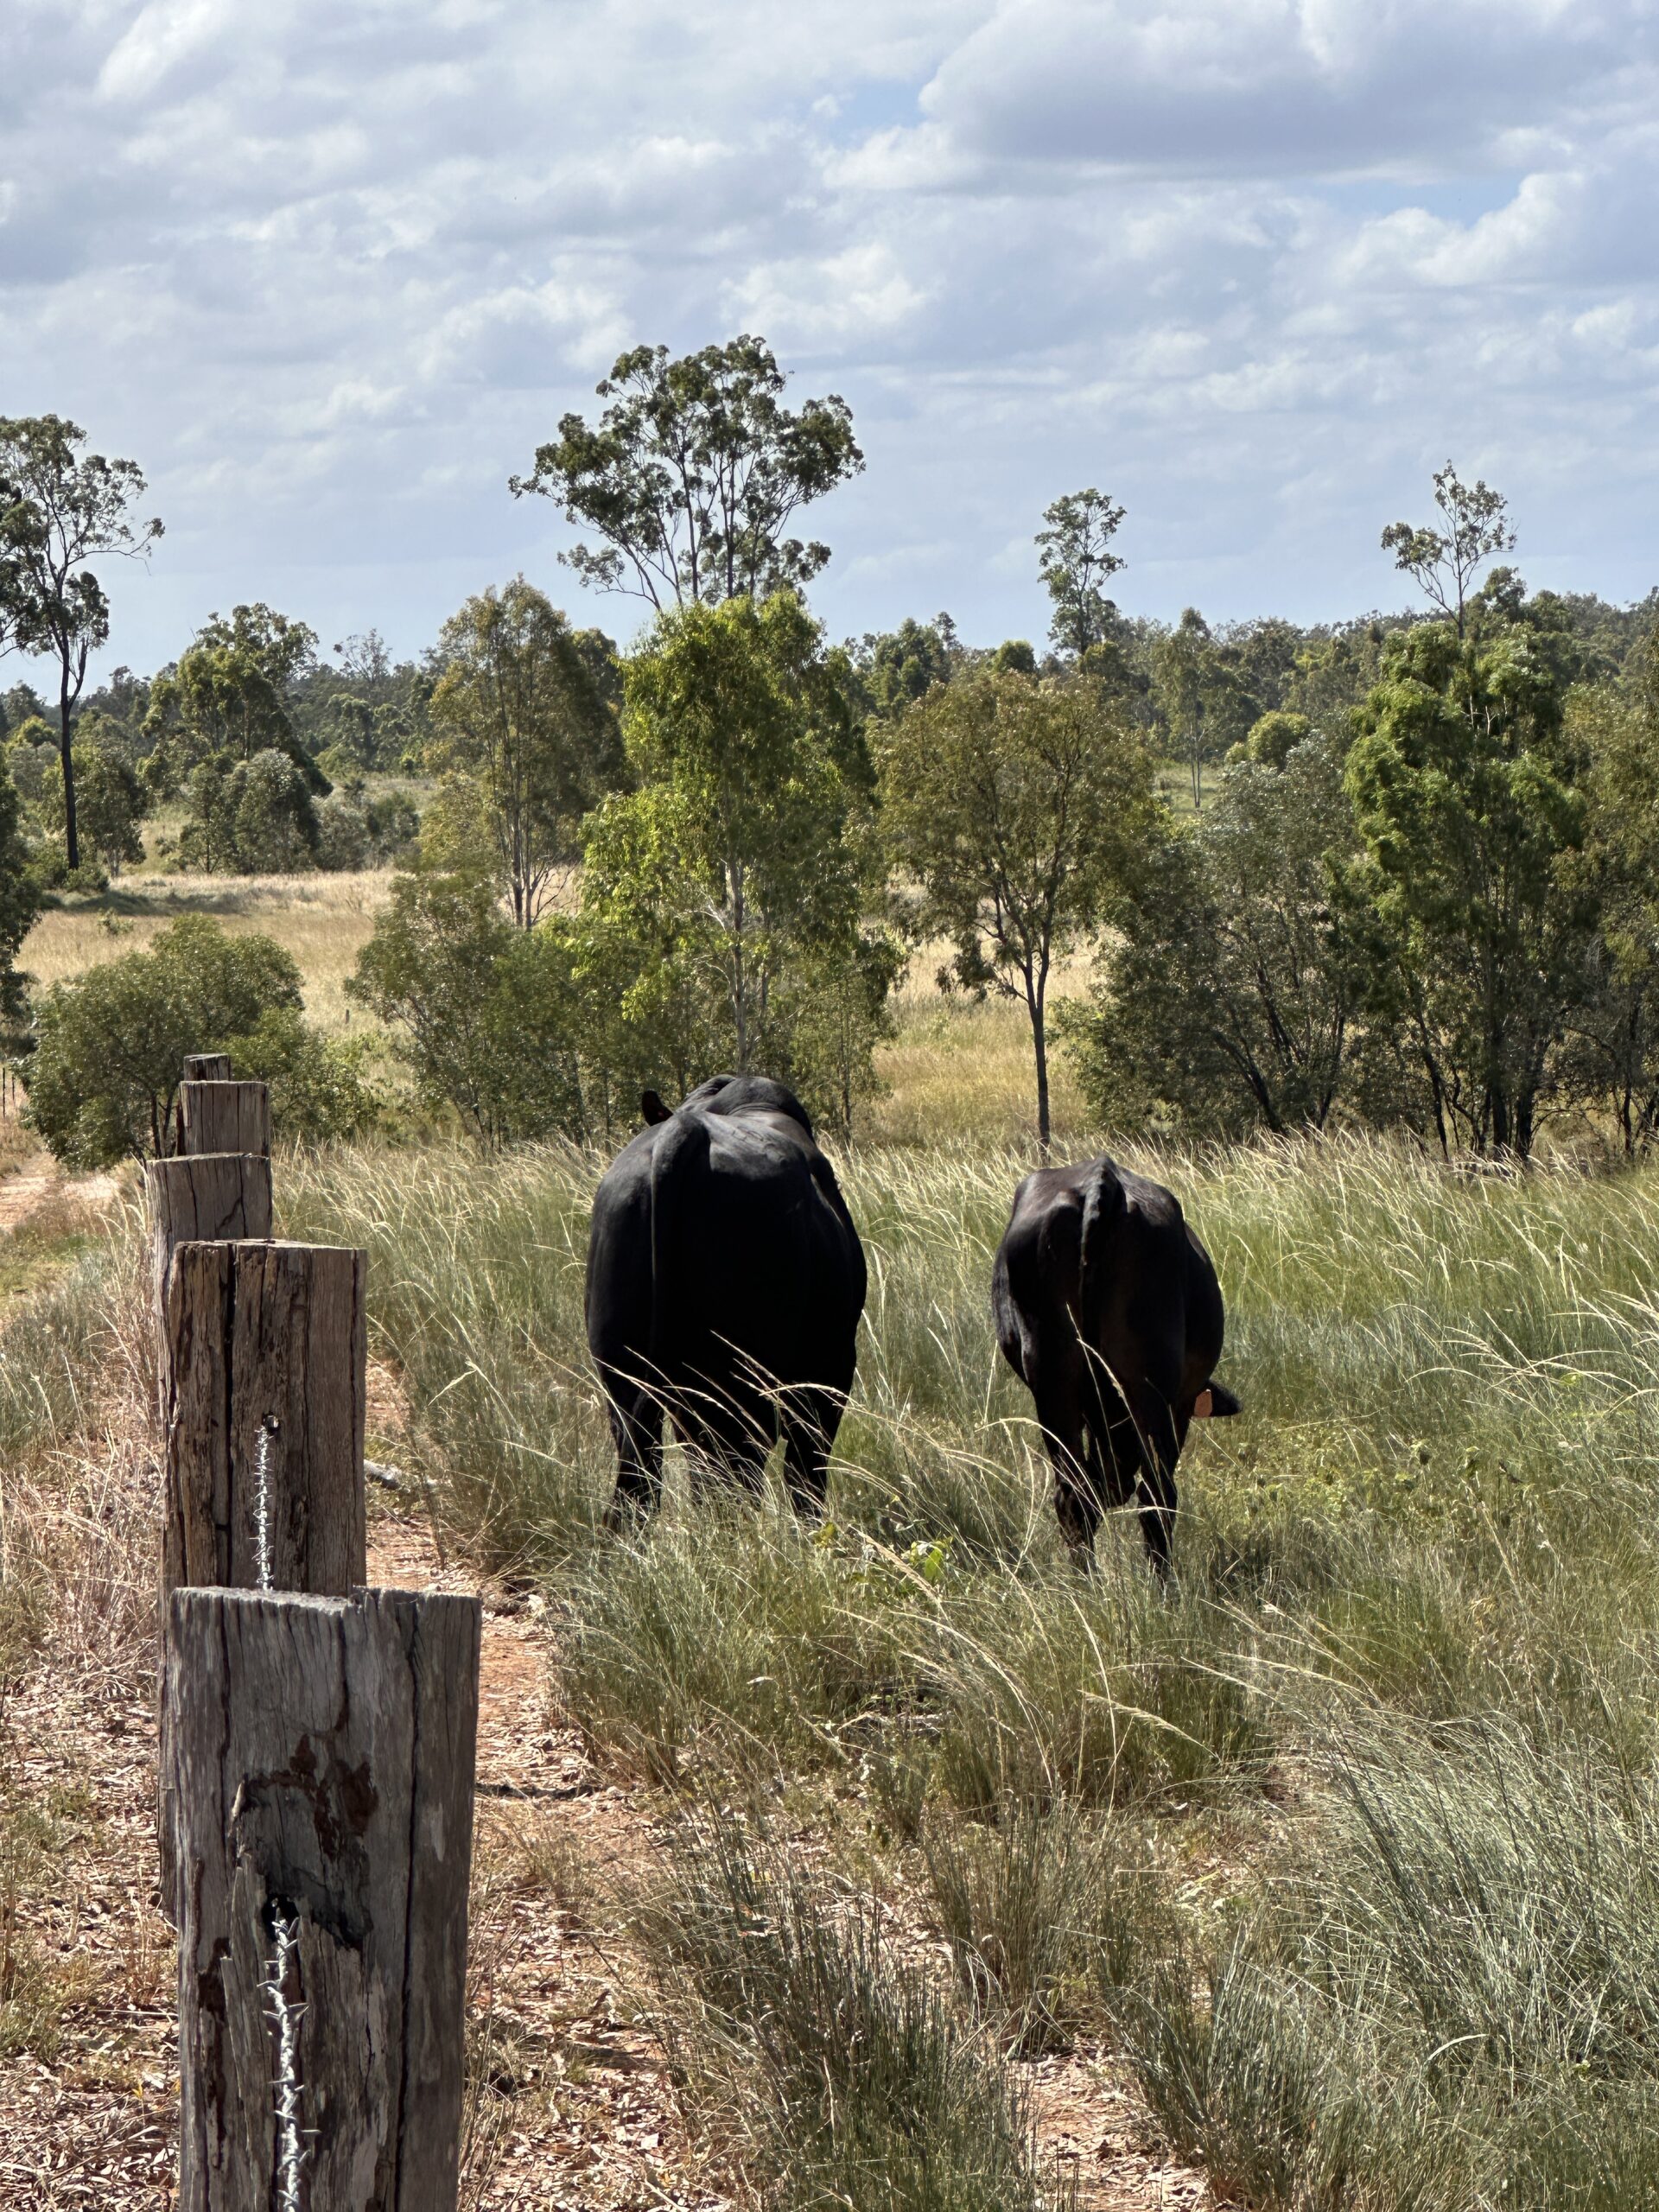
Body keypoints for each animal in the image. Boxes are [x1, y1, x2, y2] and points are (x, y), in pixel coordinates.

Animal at [585, 1074, 867, 1525]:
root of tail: (685, 1131)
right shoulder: (832, 1365)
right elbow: (806, 1470)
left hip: (620, 1365)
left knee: (644, 1480)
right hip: (747, 1373)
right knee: (739, 1469)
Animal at [992, 1154, 1239, 1573]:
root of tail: (1102, 1183)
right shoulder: (1181, 1405)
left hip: (1054, 1384)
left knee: (1074, 1495)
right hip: (1151, 1390)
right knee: (1155, 1498)